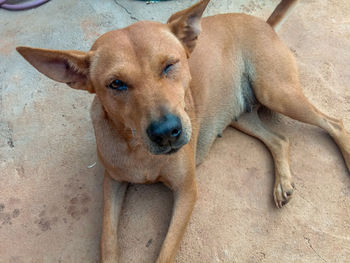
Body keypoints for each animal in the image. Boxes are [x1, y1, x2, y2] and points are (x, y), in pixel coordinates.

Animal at [15, 0, 350, 262]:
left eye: (169, 65)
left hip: (276, 91)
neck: (138, 150)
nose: (166, 132)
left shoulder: (186, 191)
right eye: (116, 84)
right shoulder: (112, 181)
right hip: (240, 114)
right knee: (280, 139)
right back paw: (283, 183)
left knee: (335, 123)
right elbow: (107, 239)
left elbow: (165, 251)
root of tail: (264, 24)